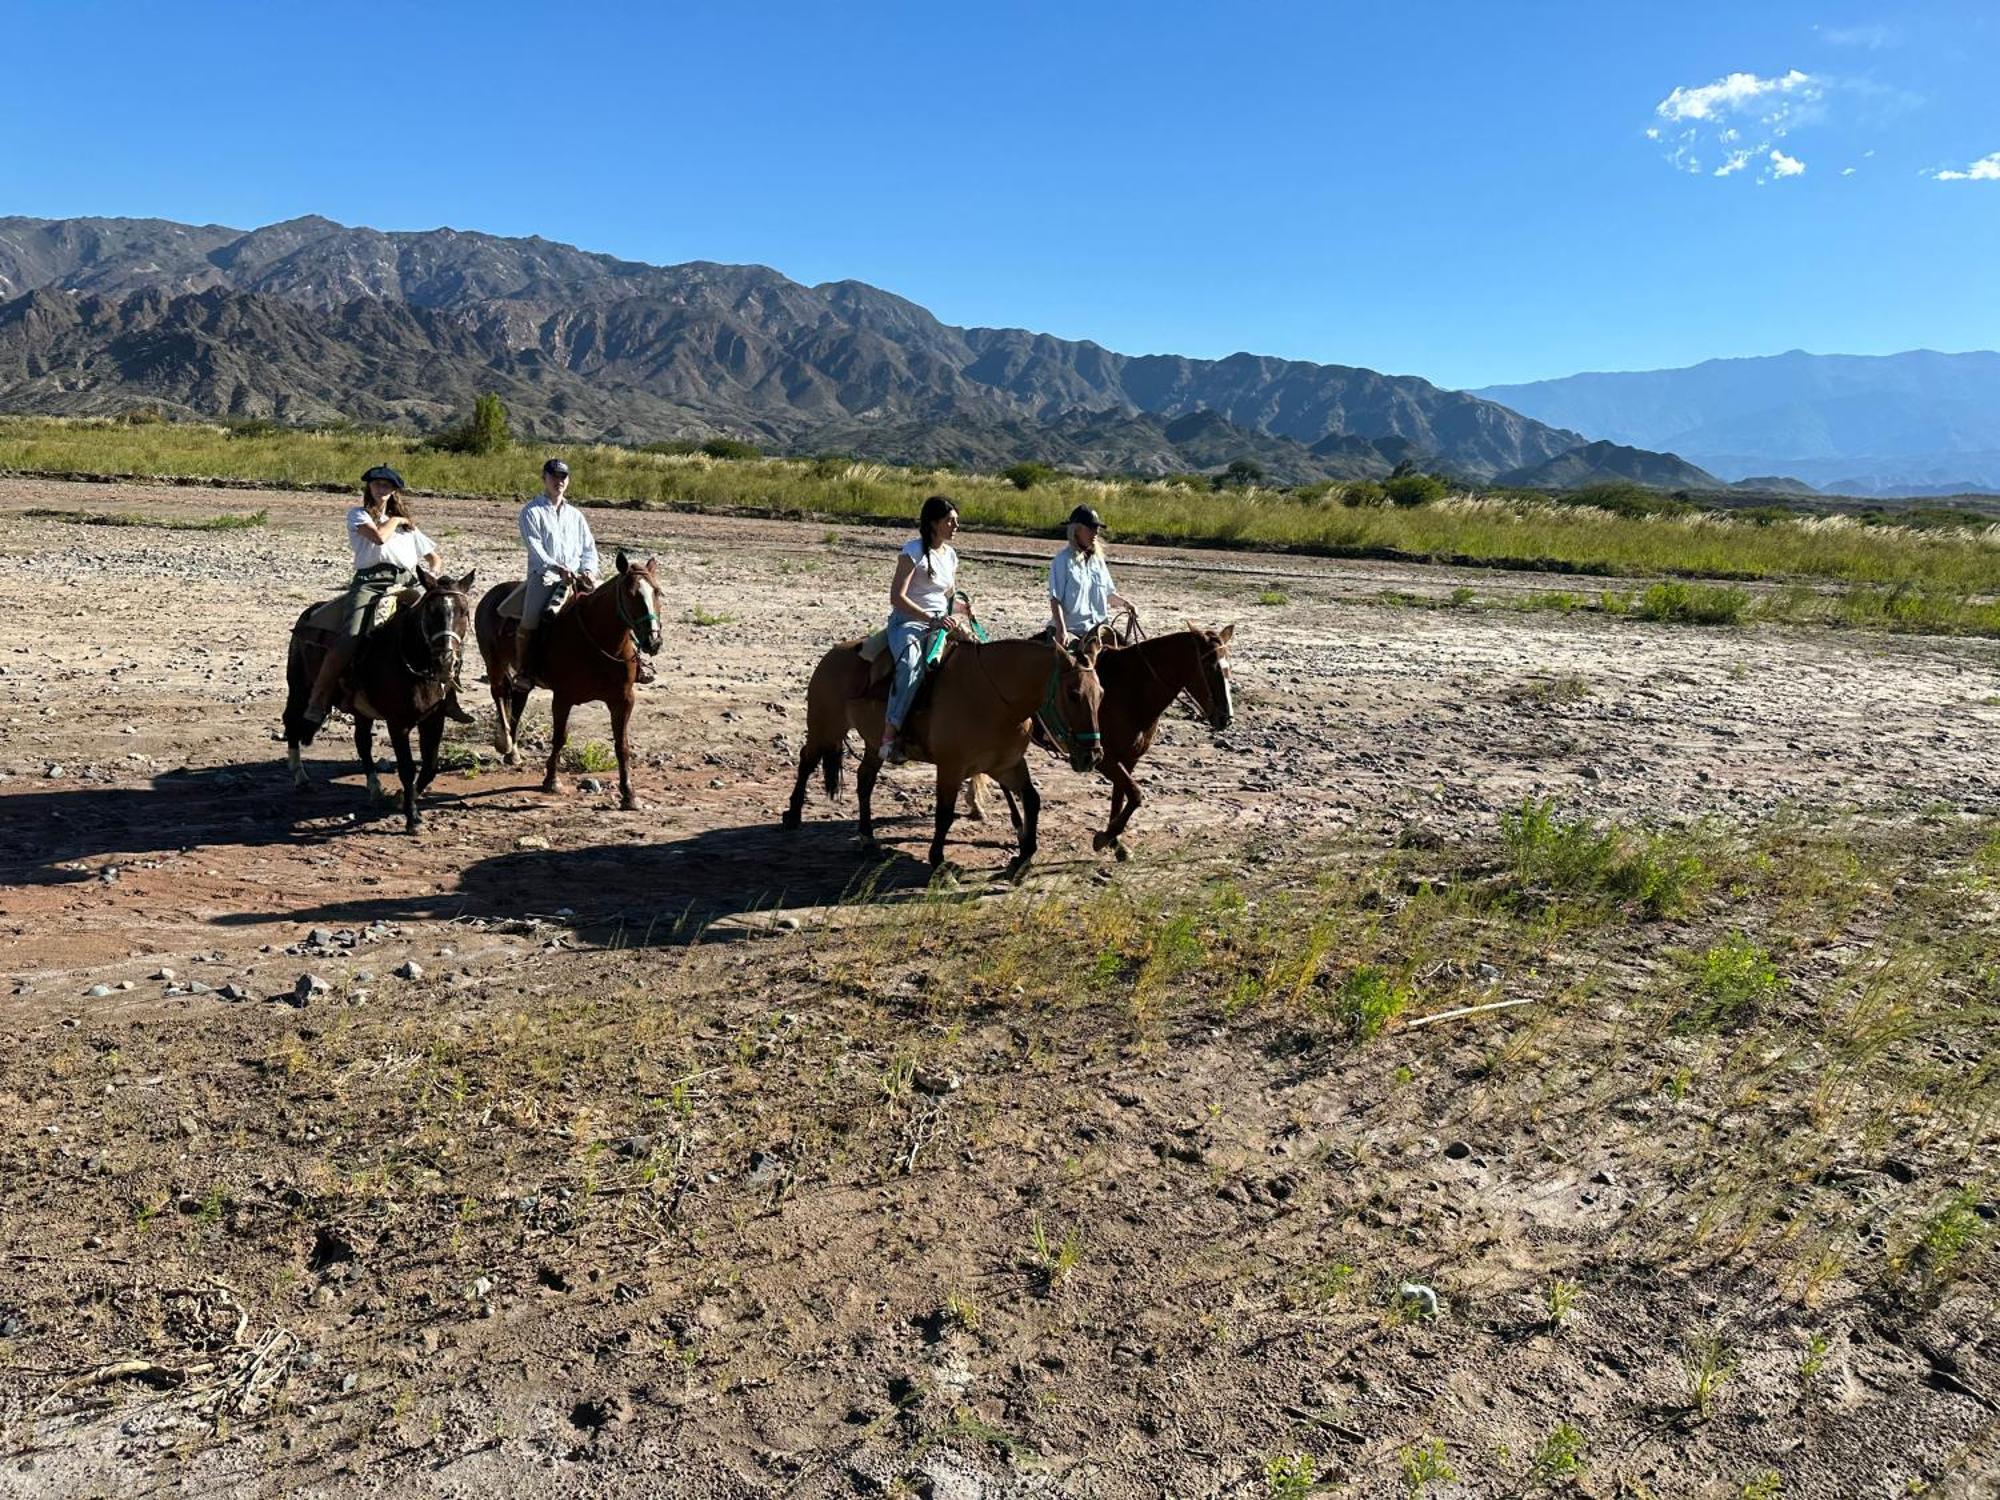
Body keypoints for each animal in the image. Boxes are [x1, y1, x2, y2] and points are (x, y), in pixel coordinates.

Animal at [284, 568, 478, 840]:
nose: (446, 661)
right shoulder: (398, 724)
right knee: (292, 722)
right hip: (300, 689)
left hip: (360, 710)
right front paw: (412, 817)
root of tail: (308, 614)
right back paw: (300, 775)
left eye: (464, 611)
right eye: (432, 612)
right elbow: (406, 768)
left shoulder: (434, 719)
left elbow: (430, 766)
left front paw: (401, 799)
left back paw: (375, 788)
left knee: (362, 742)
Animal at [470, 548, 660, 812]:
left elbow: (622, 746)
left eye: (657, 592)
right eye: (630, 595)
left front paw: (629, 795)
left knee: (518, 696)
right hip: (493, 662)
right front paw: (552, 781)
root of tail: (491, 594)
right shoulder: (562, 698)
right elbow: (560, 738)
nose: (653, 641)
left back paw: (513, 752)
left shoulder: (623, 700)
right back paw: (506, 742)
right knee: (499, 693)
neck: (597, 639)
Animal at [780, 636, 1112, 880]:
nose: (1092, 756)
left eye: (1101, 693)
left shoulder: (1006, 766)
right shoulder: (951, 768)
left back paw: (867, 838)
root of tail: (832, 655)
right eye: (1073, 694)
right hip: (824, 729)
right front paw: (939, 863)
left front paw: (1022, 858)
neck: (995, 699)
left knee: (865, 781)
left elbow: (1031, 800)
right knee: (807, 760)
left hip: (874, 744)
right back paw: (793, 815)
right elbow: (944, 814)